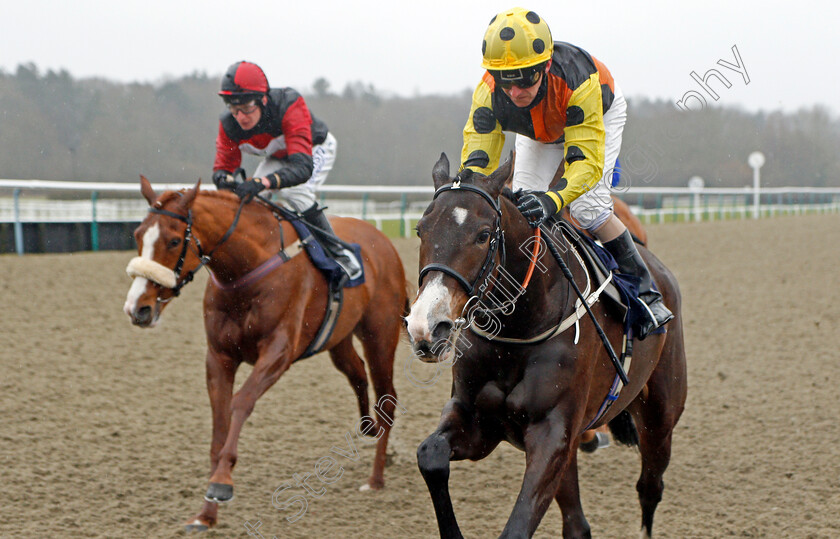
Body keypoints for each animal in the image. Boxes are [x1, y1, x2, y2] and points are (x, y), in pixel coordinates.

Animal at [123, 178, 408, 532]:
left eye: (174, 240)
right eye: (138, 235)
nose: (137, 308)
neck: (246, 269)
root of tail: (383, 241)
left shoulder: (277, 353)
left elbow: (241, 402)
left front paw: (221, 483)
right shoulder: (218, 357)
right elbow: (220, 423)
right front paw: (206, 513)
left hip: (380, 336)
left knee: (388, 398)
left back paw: (376, 477)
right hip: (338, 338)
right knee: (356, 372)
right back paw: (368, 428)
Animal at [406, 154, 688, 536]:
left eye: (483, 235)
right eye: (421, 230)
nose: (427, 327)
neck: (518, 331)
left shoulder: (552, 433)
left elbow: (516, 528)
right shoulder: (480, 423)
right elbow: (430, 454)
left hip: (659, 419)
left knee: (650, 487)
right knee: (578, 524)